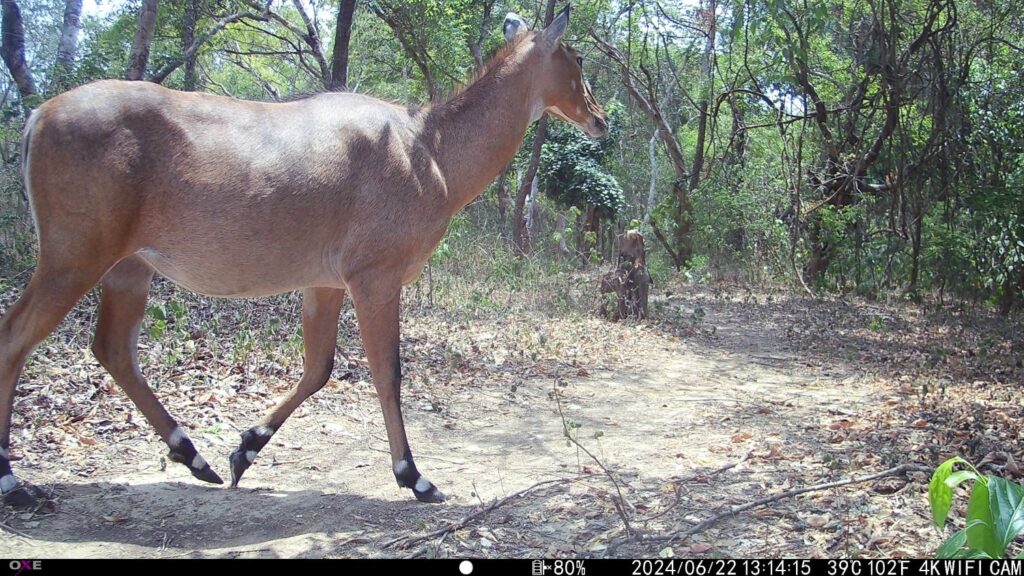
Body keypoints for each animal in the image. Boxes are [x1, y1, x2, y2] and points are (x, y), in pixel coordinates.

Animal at [0, 6, 602, 504]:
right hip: (75, 254)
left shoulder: (325, 281)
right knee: (17, 337)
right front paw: (415, 477)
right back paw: (13, 483)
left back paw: (195, 457)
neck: (431, 151)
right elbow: (388, 372)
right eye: (576, 58)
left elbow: (319, 367)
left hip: (129, 265)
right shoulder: (375, 275)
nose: (601, 119)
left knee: (113, 348)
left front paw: (244, 450)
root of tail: (36, 118)